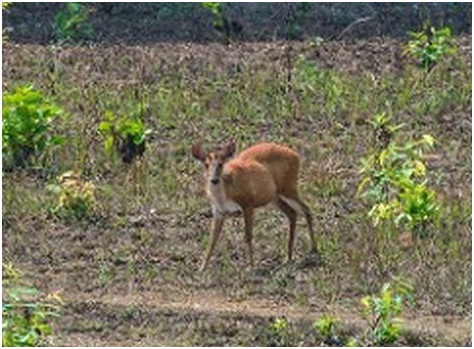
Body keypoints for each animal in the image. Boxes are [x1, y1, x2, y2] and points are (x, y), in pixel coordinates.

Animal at [191, 140, 316, 270]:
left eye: (221, 164)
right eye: (206, 164)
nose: (214, 180)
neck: (225, 194)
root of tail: (296, 155)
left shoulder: (248, 203)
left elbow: (248, 236)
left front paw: (251, 267)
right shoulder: (218, 211)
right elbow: (213, 239)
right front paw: (202, 268)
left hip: (288, 187)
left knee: (306, 209)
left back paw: (313, 249)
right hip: (274, 197)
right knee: (292, 213)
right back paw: (289, 257)